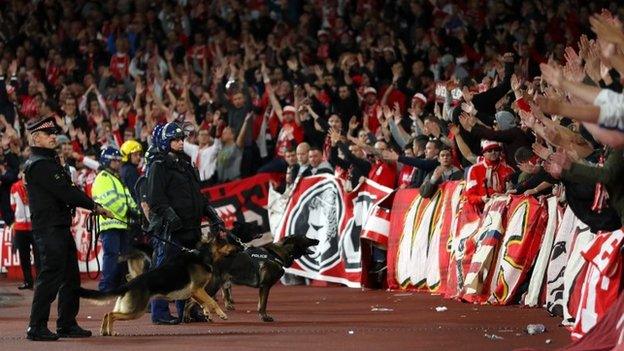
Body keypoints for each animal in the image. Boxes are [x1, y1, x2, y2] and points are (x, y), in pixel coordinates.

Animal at [75, 236, 236, 336]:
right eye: (228, 242)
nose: (239, 247)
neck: (203, 255)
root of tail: (129, 285)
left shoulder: (195, 292)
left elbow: (203, 303)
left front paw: (207, 313)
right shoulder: (197, 289)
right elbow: (212, 301)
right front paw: (221, 314)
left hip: (129, 308)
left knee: (107, 314)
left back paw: (105, 332)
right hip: (135, 311)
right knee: (111, 315)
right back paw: (109, 332)